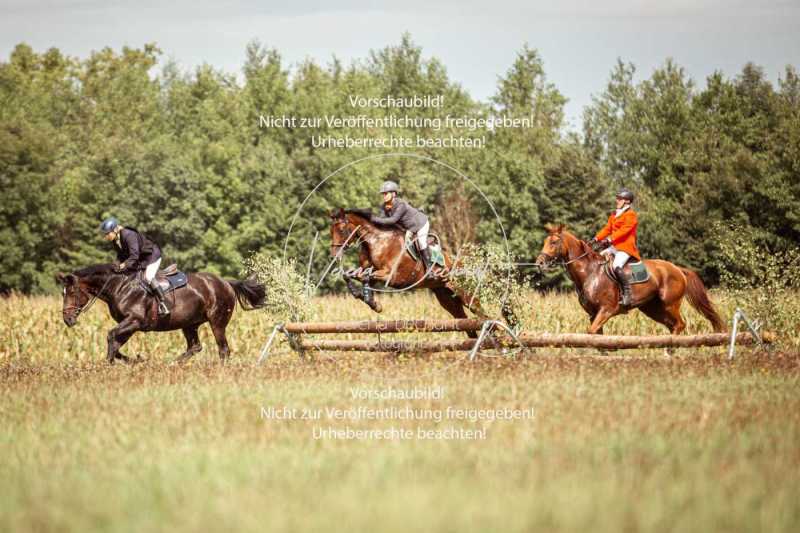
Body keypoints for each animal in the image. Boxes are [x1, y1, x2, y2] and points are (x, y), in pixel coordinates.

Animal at [54, 264, 266, 364]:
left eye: (71, 292)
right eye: (62, 293)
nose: (67, 319)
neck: (119, 286)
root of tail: (226, 283)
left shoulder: (134, 321)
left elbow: (111, 336)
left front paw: (111, 363)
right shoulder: (129, 325)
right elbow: (115, 342)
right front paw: (134, 361)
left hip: (217, 322)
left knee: (223, 349)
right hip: (189, 324)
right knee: (195, 347)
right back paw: (172, 364)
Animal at [326, 208, 488, 336]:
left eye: (341, 230)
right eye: (331, 231)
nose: (334, 255)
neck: (375, 241)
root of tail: (460, 263)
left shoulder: (392, 277)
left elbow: (366, 277)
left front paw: (370, 301)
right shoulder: (370, 271)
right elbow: (352, 275)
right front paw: (369, 300)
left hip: (464, 292)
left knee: (480, 311)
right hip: (446, 298)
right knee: (465, 322)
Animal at [536, 223, 724, 332]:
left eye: (553, 242)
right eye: (545, 241)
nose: (539, 263)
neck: (589, 272)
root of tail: (678, 269)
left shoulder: (606, 310)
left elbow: (591, 332)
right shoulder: (593, 313)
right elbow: (595, 335)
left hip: (670, 304)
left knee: (679, 325)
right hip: (653, 309)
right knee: (673, 326)